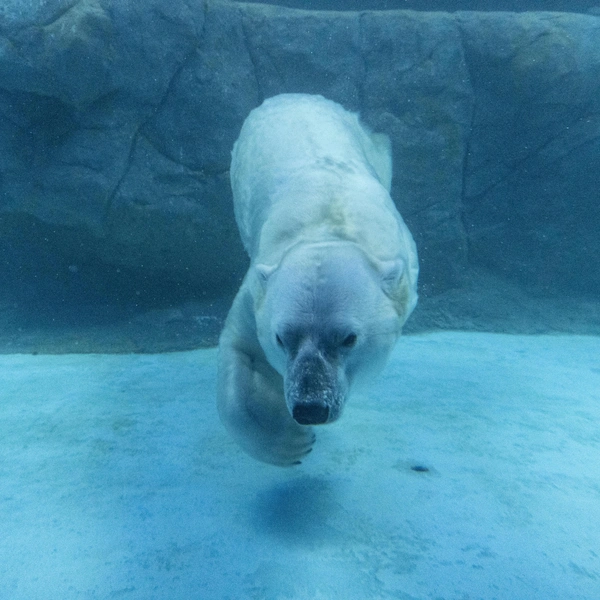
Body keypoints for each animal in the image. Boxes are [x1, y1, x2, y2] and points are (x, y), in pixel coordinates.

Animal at [216, 95, 418, 468]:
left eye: (349, 338)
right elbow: (242, 350)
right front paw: (290, 443)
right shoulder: (258, 292)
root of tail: (292, 95)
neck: (326, 225)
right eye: (281, 338)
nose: (310, 408)